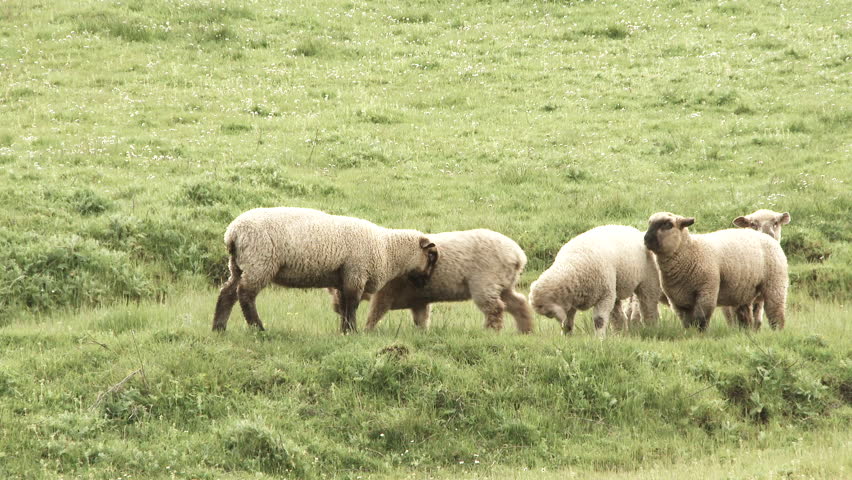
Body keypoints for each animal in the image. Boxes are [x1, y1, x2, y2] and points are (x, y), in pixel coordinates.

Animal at [212, 207, 437, 334]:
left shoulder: (344, 278)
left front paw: (344, 331)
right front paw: (352, 331)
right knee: (245, 295)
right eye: (431, 256)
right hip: (260, 262)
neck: (387, 248)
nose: (427, 282)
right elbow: (352, 305)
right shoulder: (356, 273)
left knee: (227, 294)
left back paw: (219, 328)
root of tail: (232, 233)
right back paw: (258, 329)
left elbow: (345, 305)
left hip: (238, 265)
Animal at [330, 229, 533, 333]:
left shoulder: (388, 290)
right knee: (518, 302)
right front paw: (422, 333)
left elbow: (376, 311)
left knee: (495, 307)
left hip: (486, 278)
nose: (337, 308)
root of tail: (518, 255)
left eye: (338, 289)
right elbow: (421, 317)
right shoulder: (418, 298)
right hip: (504, 281)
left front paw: (367, 330)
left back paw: (491, 330)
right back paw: (525, 328)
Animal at [529, 225, 662, 337]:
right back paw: (619, 333)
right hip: (615, 288)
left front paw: (599, 338)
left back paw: (651, 327)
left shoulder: (604, 295)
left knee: (648, 304)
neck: (573, 266)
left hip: (648, 280)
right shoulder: (571, 300)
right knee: (618, 314)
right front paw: (566, 336)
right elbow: (568, 320)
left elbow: (599, 320)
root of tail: (636, 231)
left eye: (548, 312)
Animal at [643, 212, 788, 331]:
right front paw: (689, 333)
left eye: (668, 224)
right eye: (649, 223)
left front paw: (700, 335)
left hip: (775, 284)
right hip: (744, 291)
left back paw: (777, 331)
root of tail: (767, 238)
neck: (689, 251)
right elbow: (686, 322)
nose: (646, 239)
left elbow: (701, 318)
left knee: (775, 313)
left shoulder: (707, 290)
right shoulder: (677, 299)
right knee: (745, 318)